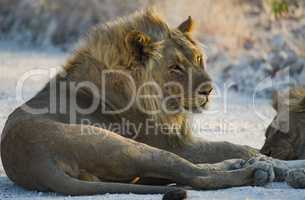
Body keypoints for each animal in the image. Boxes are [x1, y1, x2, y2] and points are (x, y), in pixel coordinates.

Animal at [2, 9, 304, 198]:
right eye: (175, 68)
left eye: (198, 59)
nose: (208, 90)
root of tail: (36, 161)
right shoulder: (176, 143)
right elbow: (237, 145)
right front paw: (278, 164)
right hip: (128, 146)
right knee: (194, 175)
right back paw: (254, 171)